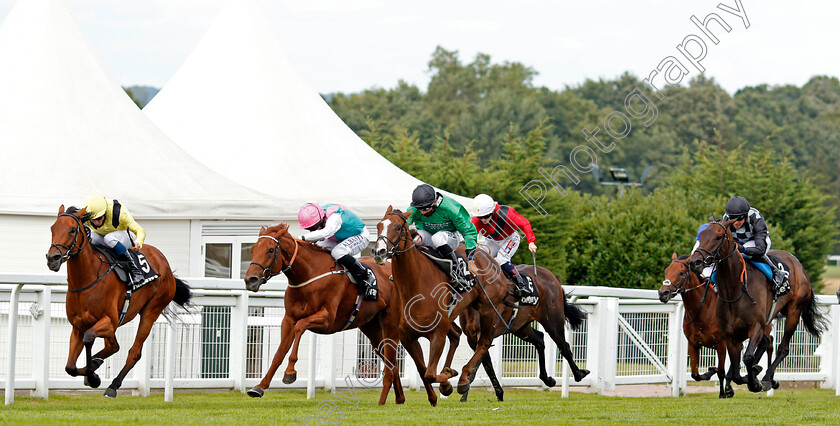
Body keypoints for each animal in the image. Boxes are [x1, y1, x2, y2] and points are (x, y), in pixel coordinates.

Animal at [46, 205, 192, 398]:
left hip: (151, 311)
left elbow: (89, 337)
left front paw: (93, 376)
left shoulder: (110, 321)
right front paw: (92, 372)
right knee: (114, 346)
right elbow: (70, 367)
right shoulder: (78, 326)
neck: (87, 280)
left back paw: (113, 385)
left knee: (133, 352)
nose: (52, 258)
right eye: (52, 228)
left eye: (72, 230)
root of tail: (164, 262)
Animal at [241, 223, 406, 406]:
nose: (250, 280)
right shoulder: (288, 319)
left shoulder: (327, 320)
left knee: (391, 357)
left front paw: (290, 372)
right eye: (253, 248)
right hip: (370, 327)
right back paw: (399, 398)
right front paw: (259, 387)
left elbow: (300, 327)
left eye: (270, 250)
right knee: (389, 358)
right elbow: (279, 352)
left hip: (390, 323)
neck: (308, 275)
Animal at [688, 218, 828, 392]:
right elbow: (736, 369)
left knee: (783, 348)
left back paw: (768, 379)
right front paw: (749, 376)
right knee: (768, 343)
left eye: (718, 237)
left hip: (794, 312)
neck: (735, 291)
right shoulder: (730, 334)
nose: (695, 262)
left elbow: (748, 357)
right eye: (702, 235)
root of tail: (798, 264)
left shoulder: (756, 326)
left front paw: (754, 382)